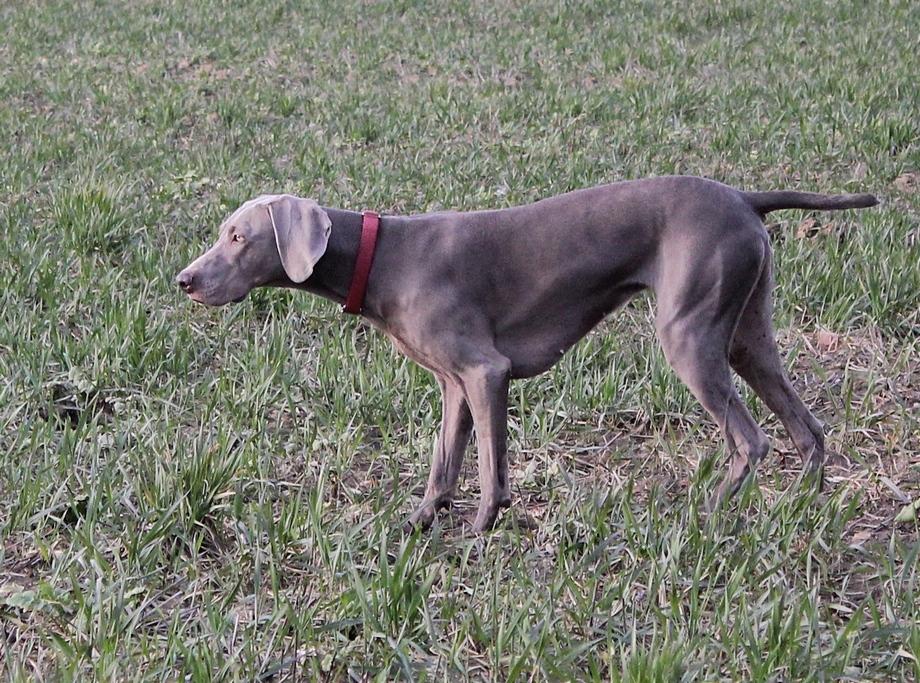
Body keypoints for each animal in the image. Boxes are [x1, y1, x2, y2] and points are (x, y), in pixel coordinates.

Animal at [174, 176, 876, 536]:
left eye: (237, 237)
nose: (183, 280)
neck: (380, 254)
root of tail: (743, 197)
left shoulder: (487, 372)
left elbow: (489, 466)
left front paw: (483, 527)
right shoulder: (453, 383)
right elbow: (443, 461)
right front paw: (419, 522)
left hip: (689, 334)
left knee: (751, 439)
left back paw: (703, 516)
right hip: (747, 334)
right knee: (807, 429)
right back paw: (801, 512)